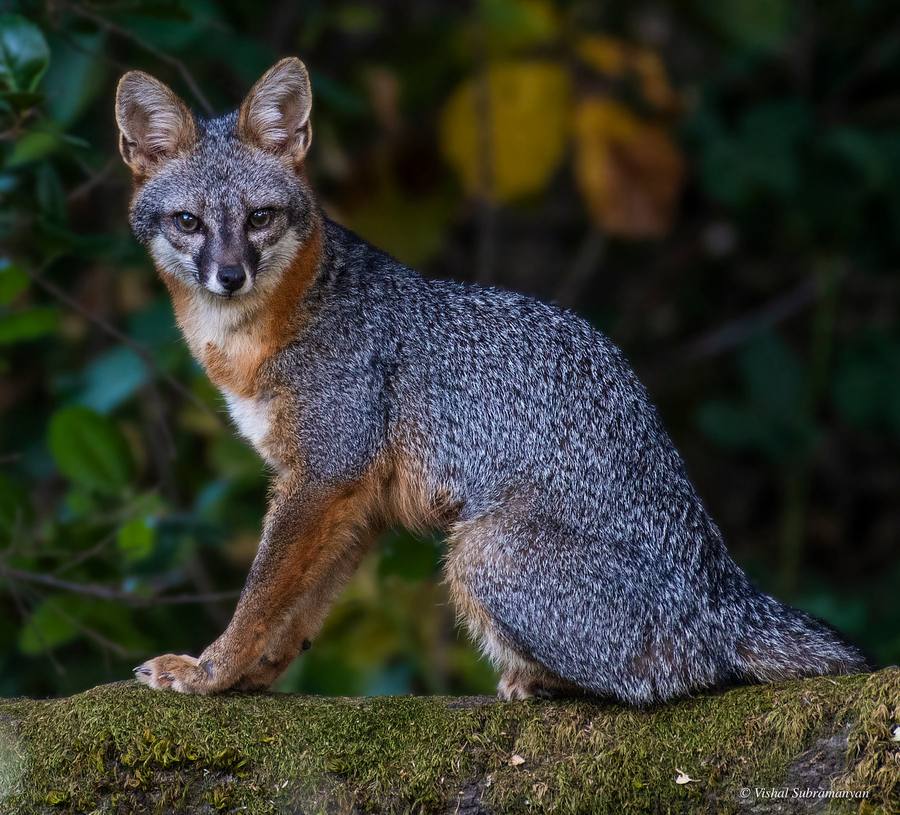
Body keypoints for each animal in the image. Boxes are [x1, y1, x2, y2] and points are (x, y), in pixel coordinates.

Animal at [117, 58, 867, 703]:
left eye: (259, 218)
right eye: (188, 222)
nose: (230, 275)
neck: (255, 342)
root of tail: (722, 594)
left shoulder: (325, 473)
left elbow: (260, 596)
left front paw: (210, 672)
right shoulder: (351, 498)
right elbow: (299, 610)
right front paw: (254, 675)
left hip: (477, 554)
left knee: (659, 680)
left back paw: (539, 681)